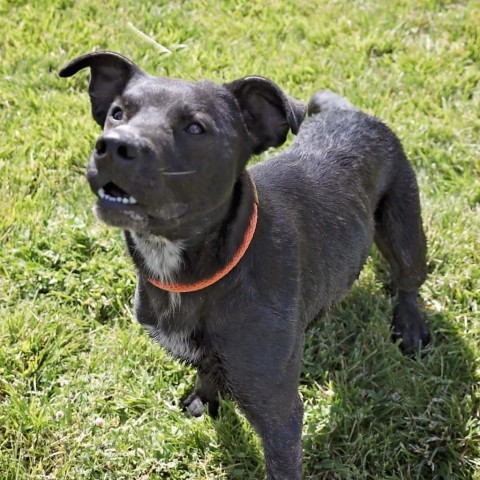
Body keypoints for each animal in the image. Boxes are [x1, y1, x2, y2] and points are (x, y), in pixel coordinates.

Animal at [60, 51, 432, 480]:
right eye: (117, 113)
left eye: (195, 127)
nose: (114, 145)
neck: (201, 273)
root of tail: (352, 112)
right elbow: (206, 373)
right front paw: (203, 401)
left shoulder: (280, 415)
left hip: (405, 232)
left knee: (409, 281)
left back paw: (410, 325)